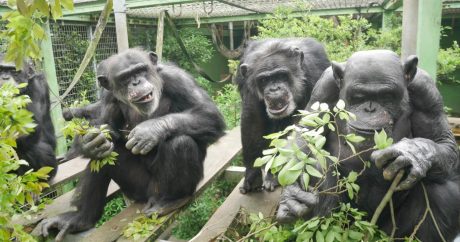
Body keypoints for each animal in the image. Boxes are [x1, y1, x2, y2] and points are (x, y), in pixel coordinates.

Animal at [40, 48, 226, 240]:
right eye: (125, 78)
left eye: (140, 70)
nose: (136, 82)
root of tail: (151, 196)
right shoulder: (108, 96)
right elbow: (104, 125)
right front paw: (89, 142)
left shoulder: (178, 78)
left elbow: (208, 113)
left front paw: (149, 131)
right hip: (136, 189)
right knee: (104, 155)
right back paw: (80, 218)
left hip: (161, 189)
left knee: (181, 142)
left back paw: (171, 201)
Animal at [237, 37, 330, 193]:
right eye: (264, 80)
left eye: (281, 75)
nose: (274, 89)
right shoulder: (248, 85)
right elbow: (252, 119)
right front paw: (252, 174)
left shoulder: (316, 73)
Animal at [276, 50, 460, 241]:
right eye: (360, 97)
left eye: (386, 96)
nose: (370, 109)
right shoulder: (323, 88)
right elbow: (306, 133)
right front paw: (292, 195)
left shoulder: (426, 91)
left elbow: (443, 141)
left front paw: (413, 153)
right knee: (318, 167)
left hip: (388, 231)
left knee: (442, 190)